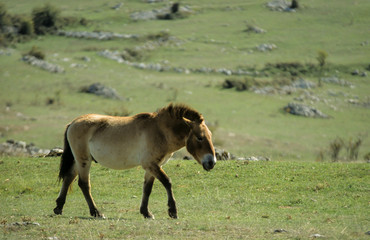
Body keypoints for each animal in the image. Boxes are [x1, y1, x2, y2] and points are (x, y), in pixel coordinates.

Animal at [53, 103, 215, 219]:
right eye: (200, 137)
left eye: (210, 136)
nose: (211, 162)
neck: (160, 131)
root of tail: (73, 123)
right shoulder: (151, 164)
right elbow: (167, 182)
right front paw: (172, 211)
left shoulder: (153, 167)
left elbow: (147, 189)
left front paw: (146, 212)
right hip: (84, 161)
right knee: (83, 184)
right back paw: (96, 212)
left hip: (78, 161)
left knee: (68, 178)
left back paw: (59, 208)